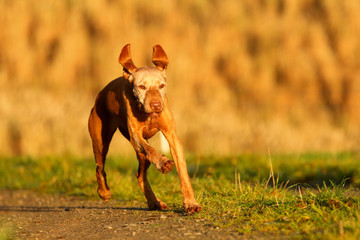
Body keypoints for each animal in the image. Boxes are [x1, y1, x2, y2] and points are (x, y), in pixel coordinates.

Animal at [87, 44, 200, 213]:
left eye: (161, 85)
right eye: (141, 86)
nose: (156, 105)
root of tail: (100, 95)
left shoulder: (172, 136)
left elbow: (182, 171)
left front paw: (191, 203)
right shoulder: (136, 137)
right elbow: (150, 150)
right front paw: (163, 162)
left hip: (141, 157)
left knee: (140, 175)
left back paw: (155, 202)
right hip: (101, 142)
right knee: (99, 168)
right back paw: (104, 192)